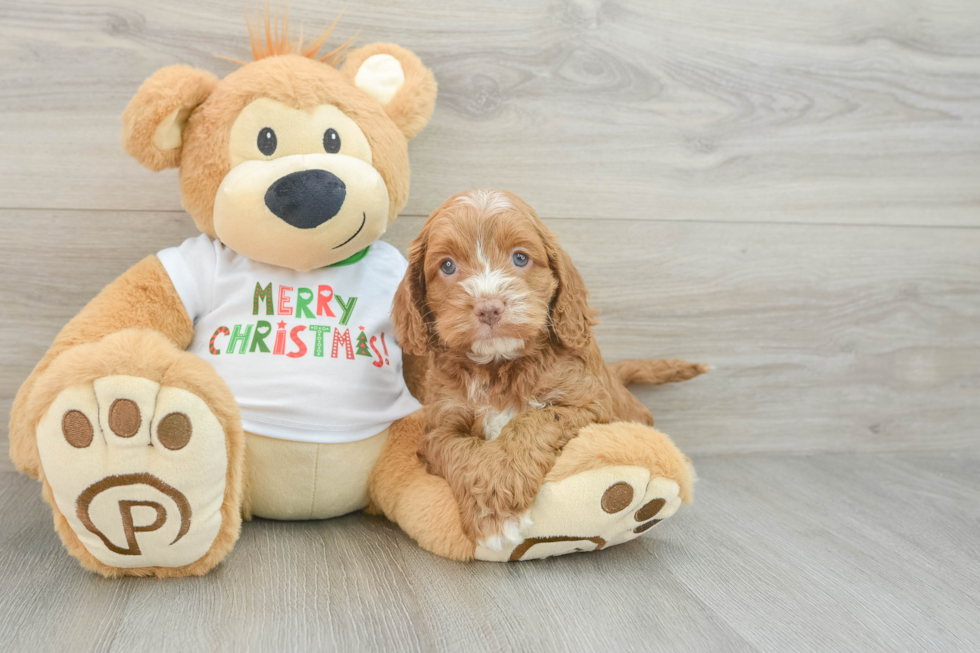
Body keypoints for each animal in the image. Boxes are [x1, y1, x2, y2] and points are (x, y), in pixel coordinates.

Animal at [390, 191, 704, 548]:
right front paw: (490, 515)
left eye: (521, 258)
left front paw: (501, 491)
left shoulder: (590, 403)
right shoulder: (439, 427)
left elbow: (535, 419)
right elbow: (459, 450)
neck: (499, 365)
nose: (489, 307)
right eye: (447, 266)